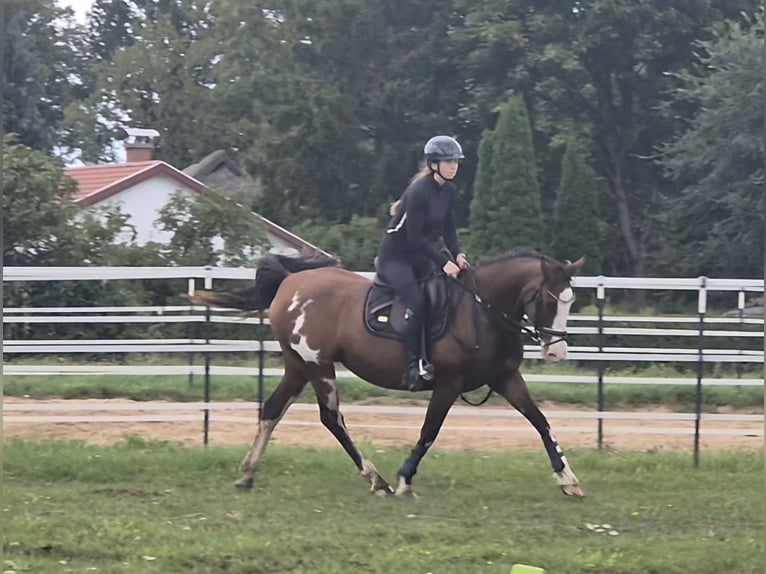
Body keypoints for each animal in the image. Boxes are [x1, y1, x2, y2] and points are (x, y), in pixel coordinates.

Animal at [190, 250, 586, 498]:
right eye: (548, 300)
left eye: (571, 301)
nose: (556, 352)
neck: (480, 311)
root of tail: (291, 282)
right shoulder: (448, 383)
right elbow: (429, 431)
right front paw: (405, 479)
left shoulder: (506, 379)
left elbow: (541, 422)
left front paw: (567, 478)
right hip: (318, 367)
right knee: (332, 419)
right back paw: (376, 479)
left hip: (298, 366)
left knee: (273, 410)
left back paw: (247, 473)